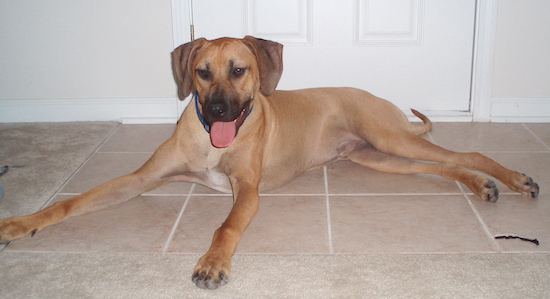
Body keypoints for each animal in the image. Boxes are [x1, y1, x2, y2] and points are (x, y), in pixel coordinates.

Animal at [0, 36, 544, 290]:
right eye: (202, 73)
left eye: (240, 71)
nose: (220, 110)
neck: (214, 143)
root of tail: (375, 97)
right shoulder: (139, 179)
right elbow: (72, 203)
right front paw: (22, 222)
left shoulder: (248, 190)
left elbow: (225, 227)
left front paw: (213, 263)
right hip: (380, 157)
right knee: (446, 166)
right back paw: (482, 186)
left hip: (389, 137)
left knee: (466, 153)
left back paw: (513, 179)